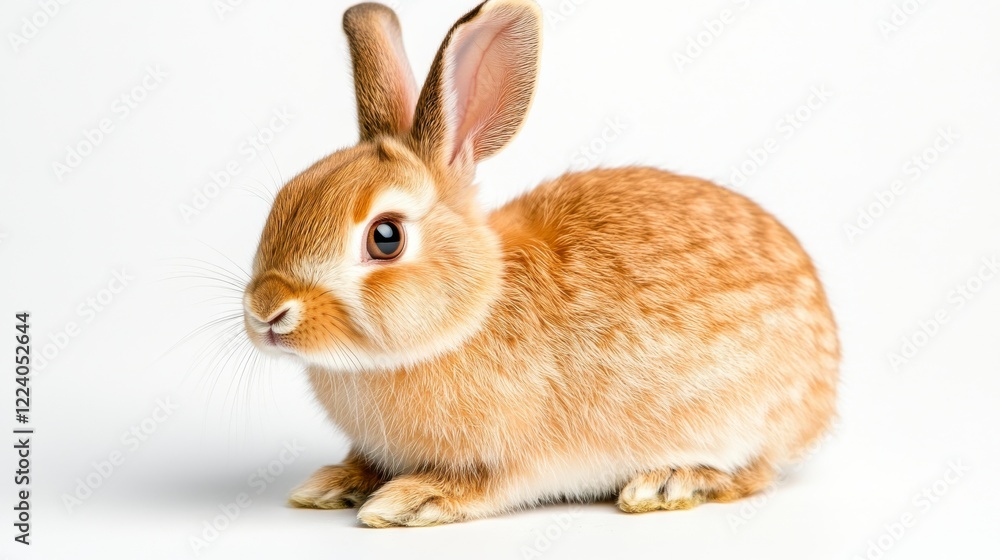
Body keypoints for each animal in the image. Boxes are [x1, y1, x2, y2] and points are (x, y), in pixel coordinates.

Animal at [241, 0, 839, 527]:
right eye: (284, 200)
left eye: (386, 238)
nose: (266, 309)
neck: (472, 311)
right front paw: (331, 484)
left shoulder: (514, 458)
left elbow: (483, 485)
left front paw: (409, 500)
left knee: (755, 471)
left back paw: (668, 483)